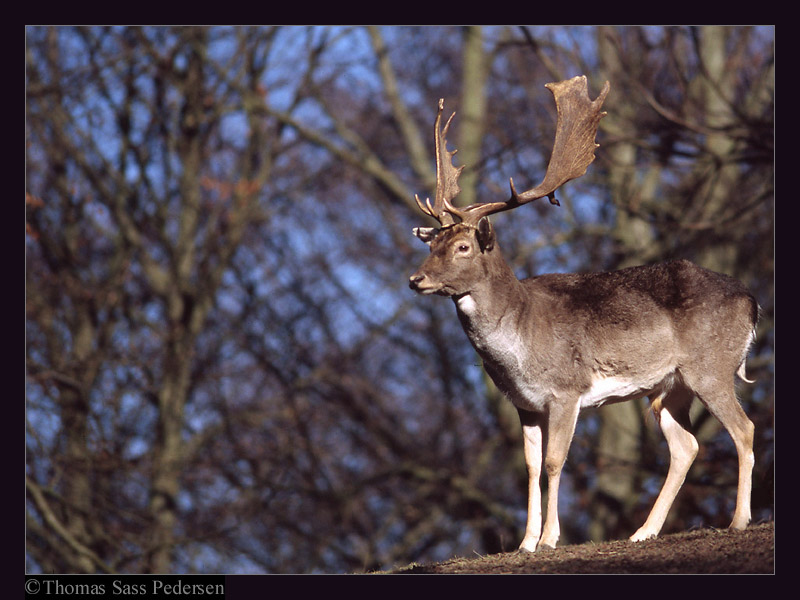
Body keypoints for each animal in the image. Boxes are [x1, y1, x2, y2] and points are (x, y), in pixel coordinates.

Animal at [410, 75, 760, 552]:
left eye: (463, 246)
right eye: (432, 244)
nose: (416, 279)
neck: (519, 342)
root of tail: (752, 302)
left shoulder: (566, 389)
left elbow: (555, 461)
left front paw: (548, 539)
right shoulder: (524, 404)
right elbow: (530, 466)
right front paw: (524, 542)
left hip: (712, 366)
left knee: (744, 429)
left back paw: (739, 521)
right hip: (669, 387)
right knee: (686, 446)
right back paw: (642, 532)